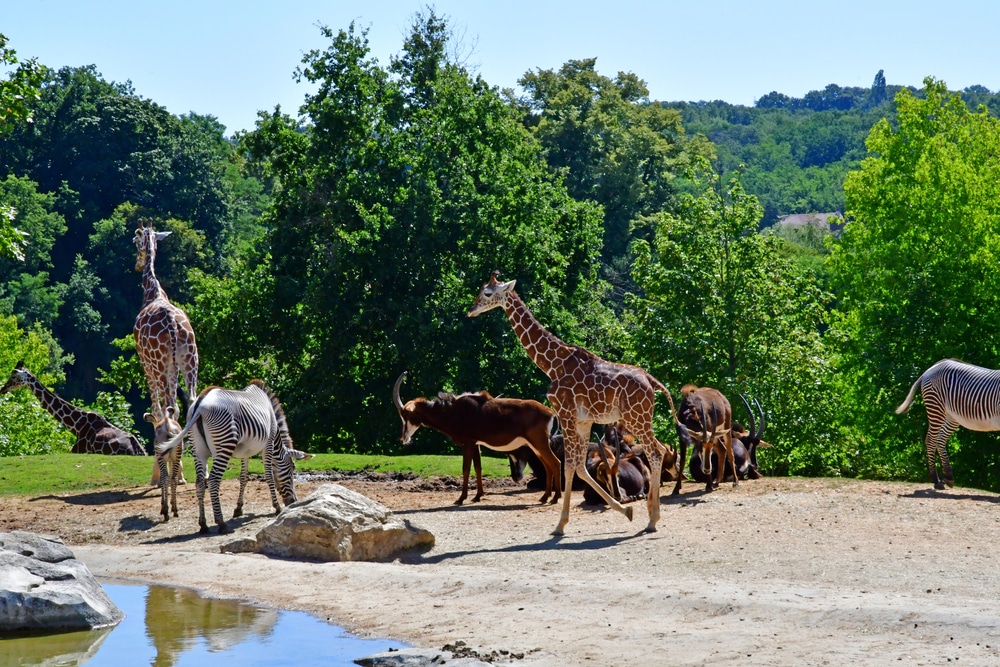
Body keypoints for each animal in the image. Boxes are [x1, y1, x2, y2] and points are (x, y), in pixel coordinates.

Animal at [155, 378, 304, 536]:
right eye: (292, 468)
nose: (293, 501)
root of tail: (199, 405)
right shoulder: (268, 444)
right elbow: (269, 476)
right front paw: (277, 507)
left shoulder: (246, 451)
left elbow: (244, 477)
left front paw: (238, 509)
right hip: (224, 445)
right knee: (213, 480)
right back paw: (221, 523)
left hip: (199, 451)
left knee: (200, 483)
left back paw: (203, 525)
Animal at [466, 272, 688, 536]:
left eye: (487, 293)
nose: (471, 311)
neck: (552, 364)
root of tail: (651, 381)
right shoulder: (583, 421)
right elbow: (580, 466)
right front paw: (625, 511)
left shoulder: (566, 414)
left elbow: (569, 465)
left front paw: (560, 525)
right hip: (640, 418)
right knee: (660, 450)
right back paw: (650, 513)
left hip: (636, 417)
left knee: (655, 452)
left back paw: (653, 519)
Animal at [896, 360, 1000, 490]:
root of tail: (932, 368)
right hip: (936, 407)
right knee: (931, 440)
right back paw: (936, 480)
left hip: (952, 416)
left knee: (940, 439)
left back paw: (948, 476)